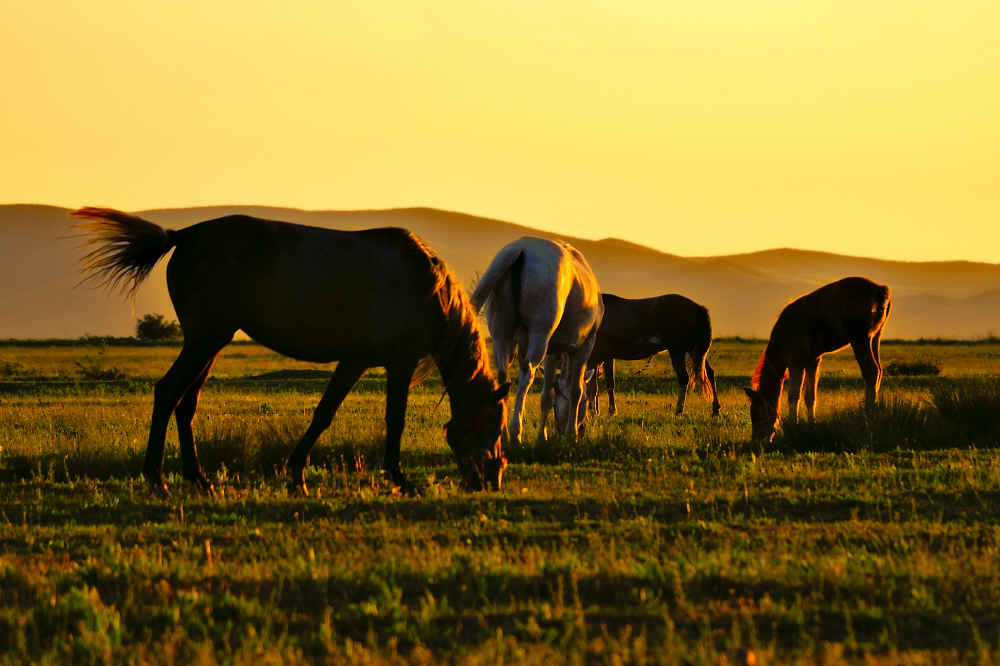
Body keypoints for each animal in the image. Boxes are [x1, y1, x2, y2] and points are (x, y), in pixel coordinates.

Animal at [72, 205, 508, 496]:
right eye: (495, 425)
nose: (490, 479)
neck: (427, 286)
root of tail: (185, 235)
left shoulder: (355, 361)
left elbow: (323, 414)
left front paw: (296, 473)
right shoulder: (398, 364)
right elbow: (394, 421)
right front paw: (400, 479)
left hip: (209, 345)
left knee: (186, 403)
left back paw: (199, 478)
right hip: (204, 342)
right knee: (167, 393)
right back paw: (156, 478)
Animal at [470, 236, 600, 444]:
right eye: (587, 402)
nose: (582, 430)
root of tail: (521, 248)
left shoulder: (552, 353)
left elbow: (547, 396)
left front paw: (541, 437)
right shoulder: (584, 346)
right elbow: (575, 390)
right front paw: (571, 434)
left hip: (501, 333)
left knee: (503, 375)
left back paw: (503, 435)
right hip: (539, 336)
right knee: (526, 373)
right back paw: (515, 433)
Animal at [584, 292, 720, 416]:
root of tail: (697, 307)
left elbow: (595, 386)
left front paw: (594, 412)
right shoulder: (605, 357)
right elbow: (607, 384)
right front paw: (607, 411)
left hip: (677, 350)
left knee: (683, 378)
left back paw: (679, 410)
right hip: (694, 351)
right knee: (709, 374)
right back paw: (715, 410)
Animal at [744, 274, 892, 440]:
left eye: (755, 413)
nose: (756, 439)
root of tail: (878, 288)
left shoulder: (796, 359)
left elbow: (793, 395)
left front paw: (793, 426)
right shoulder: (812, 361)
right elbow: (810, 396)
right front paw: (811, 425)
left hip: (859, 339)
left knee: (870, 372)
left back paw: (869, 415)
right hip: (875, 337)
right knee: (878, 370)